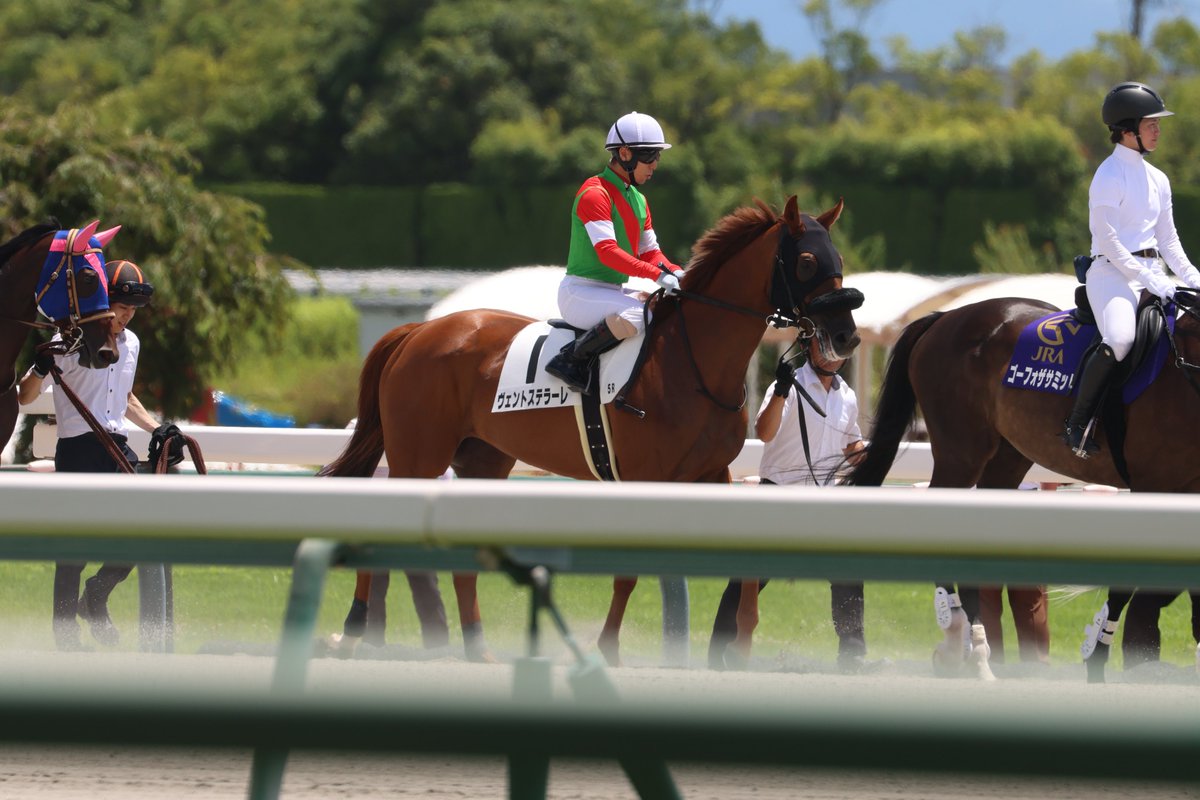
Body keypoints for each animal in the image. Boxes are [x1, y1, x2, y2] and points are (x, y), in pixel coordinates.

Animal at [321, 196, 863, 665]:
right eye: (807, 261)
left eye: (838, 258)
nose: (845, 337)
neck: (693, 361)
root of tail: (417, 331)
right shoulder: (644, 478)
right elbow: (626, 574)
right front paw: (606, 647)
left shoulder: (710, 474)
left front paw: (740, 641)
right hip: (418, 456)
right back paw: (355, 630)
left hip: (481, 459)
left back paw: (476, 646)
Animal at [845, 291, 1200, 682]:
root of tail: (945, 317)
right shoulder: (1154, 485)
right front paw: (1095, 655)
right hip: (961, 454)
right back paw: (958, 637)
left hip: (1007, 458)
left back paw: (976, 649)